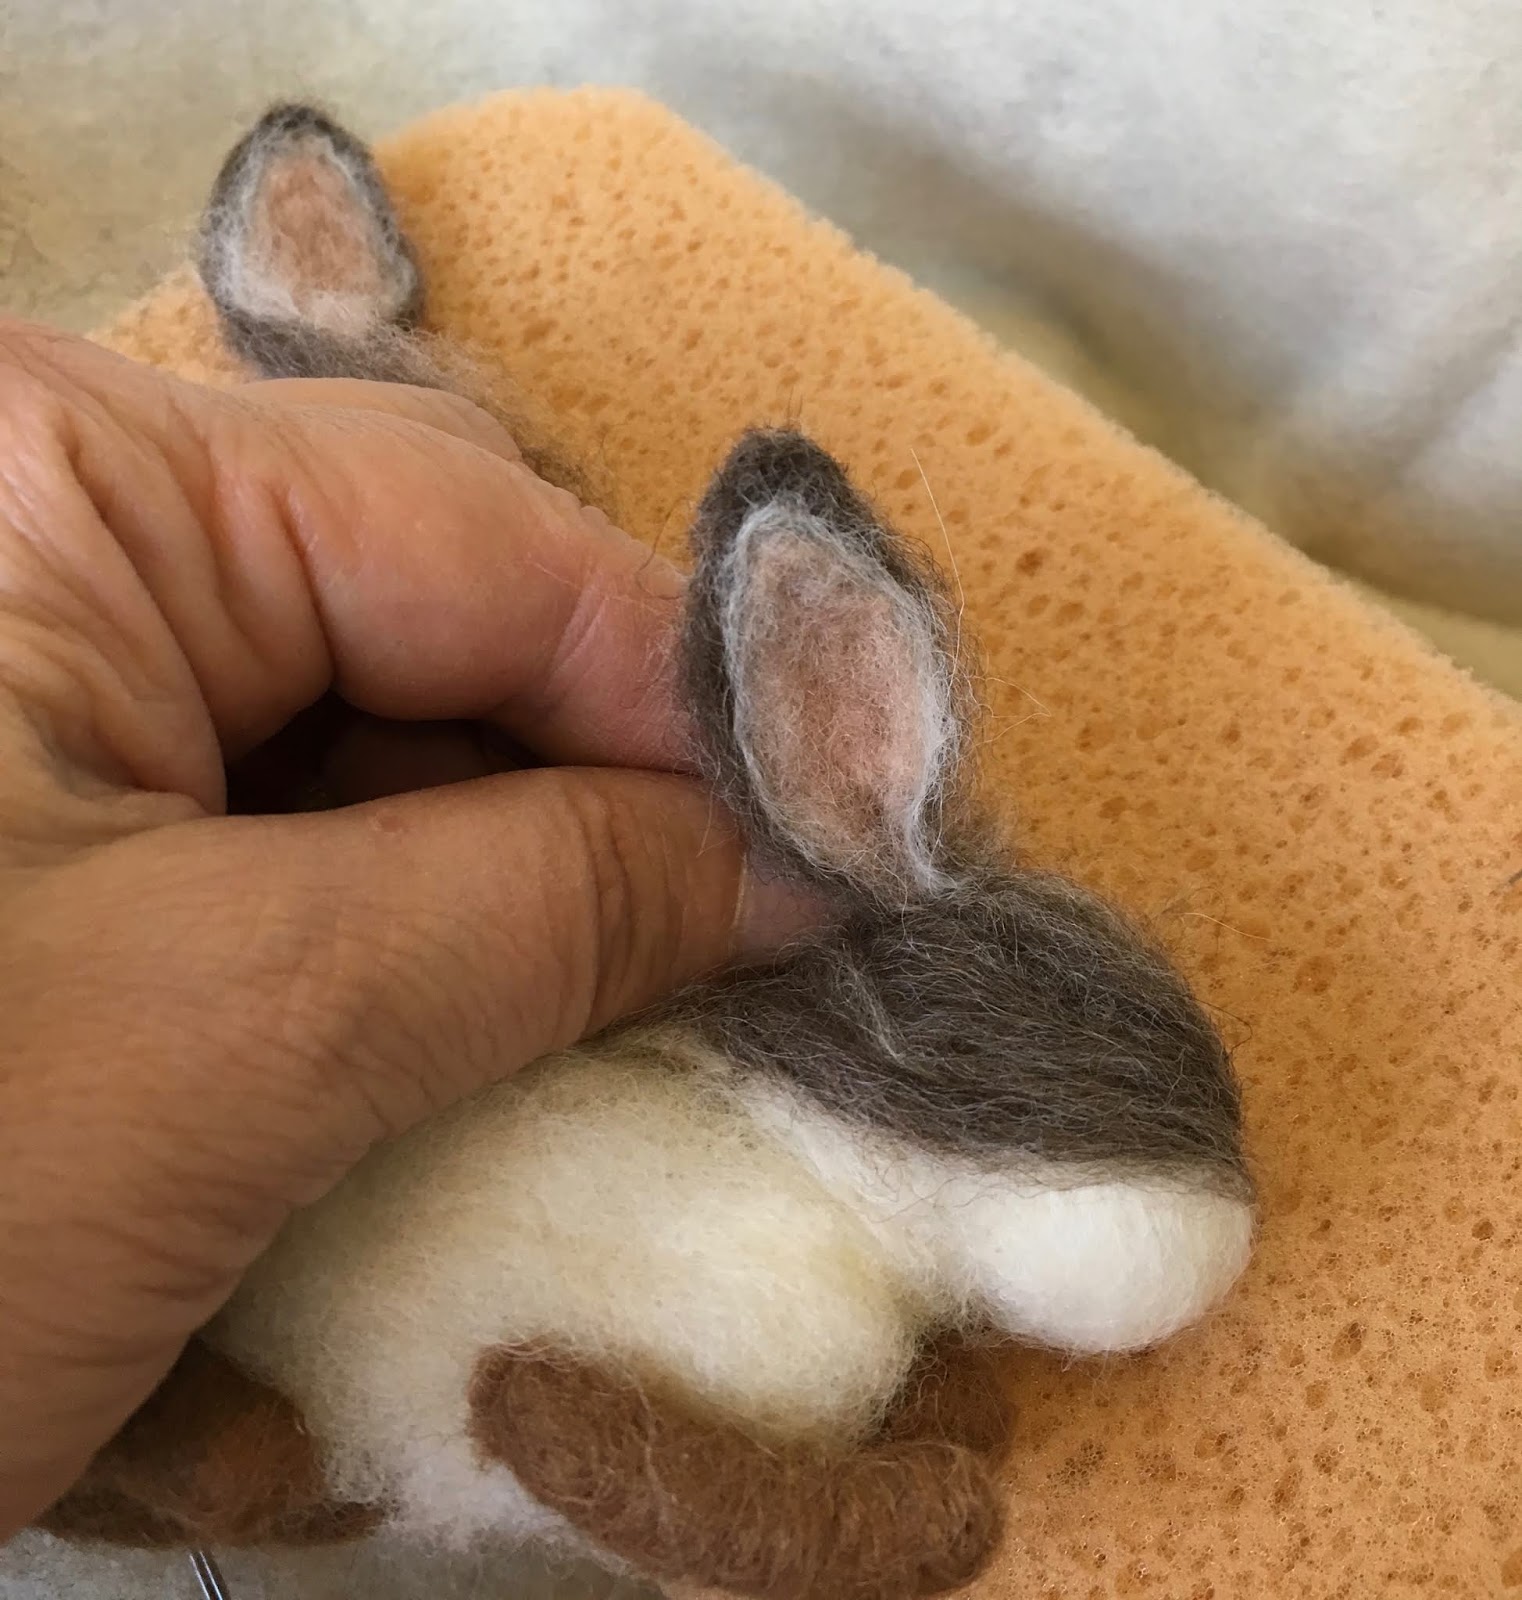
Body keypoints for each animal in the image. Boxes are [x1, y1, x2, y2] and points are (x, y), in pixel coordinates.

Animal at [44, 106, 1261, 1593]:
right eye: (1072, 1079)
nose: (1225, 1241)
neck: (817, 1182)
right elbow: (682, 1480)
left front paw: (961, 1414)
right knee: (253, 1464)